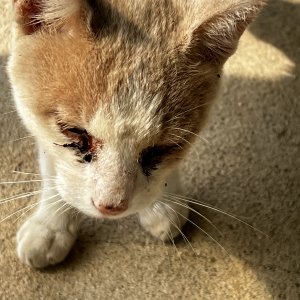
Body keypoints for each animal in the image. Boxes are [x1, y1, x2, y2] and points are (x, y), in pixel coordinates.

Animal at [7, 0, 264, 268]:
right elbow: (50, 156)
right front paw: (51, 223)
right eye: (73, 133)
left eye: (163, 148)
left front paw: (164, 201)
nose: (111, 207)